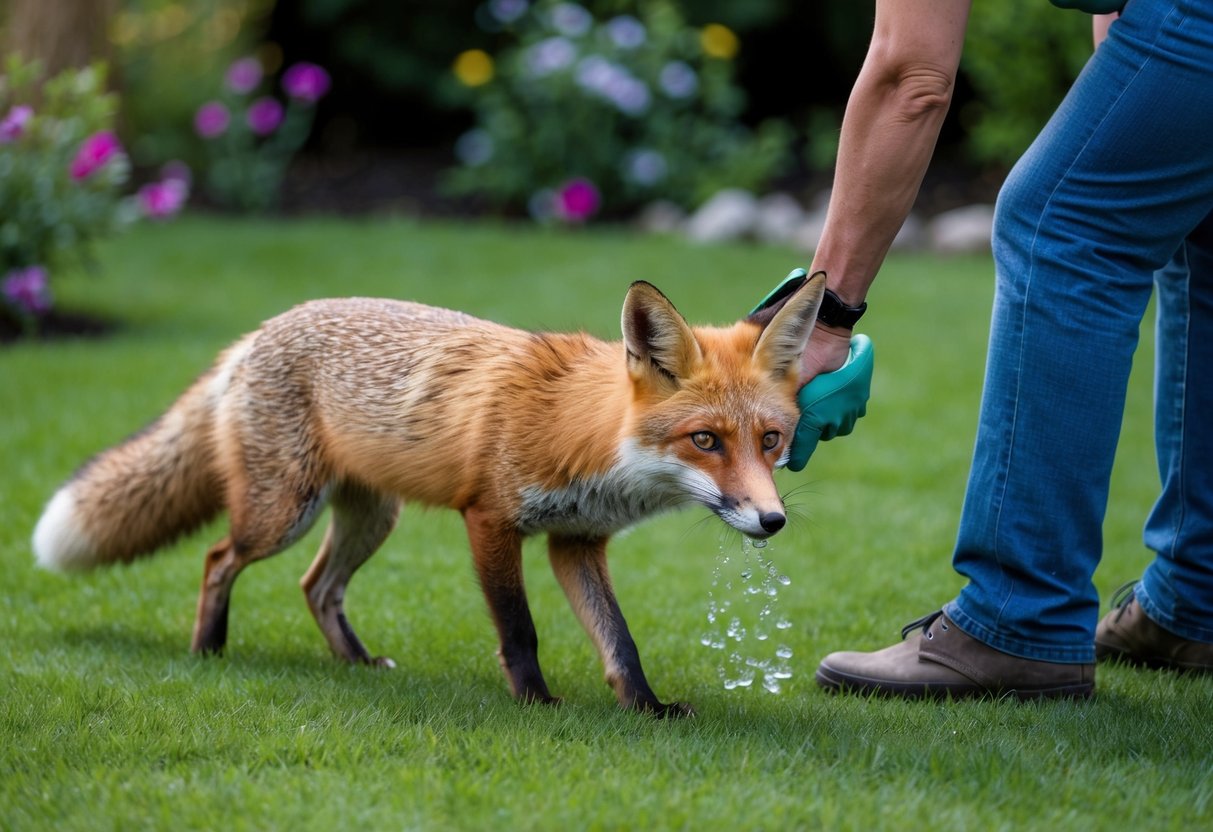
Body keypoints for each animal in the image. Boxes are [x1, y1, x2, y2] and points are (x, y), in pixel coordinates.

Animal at [32, 273, 826, 716]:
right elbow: (519, 628)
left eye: (770, 441)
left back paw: (355, 664)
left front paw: (646, 708)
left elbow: (619, 640)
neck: (587, 438)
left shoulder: (576, 541)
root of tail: (255, 335)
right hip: (284, 512)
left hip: (370, 518)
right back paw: (208, 650)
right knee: (218, 559)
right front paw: (535, 704)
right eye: (705, 440)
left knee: (316, 586)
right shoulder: (491, 521)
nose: (771, 520)